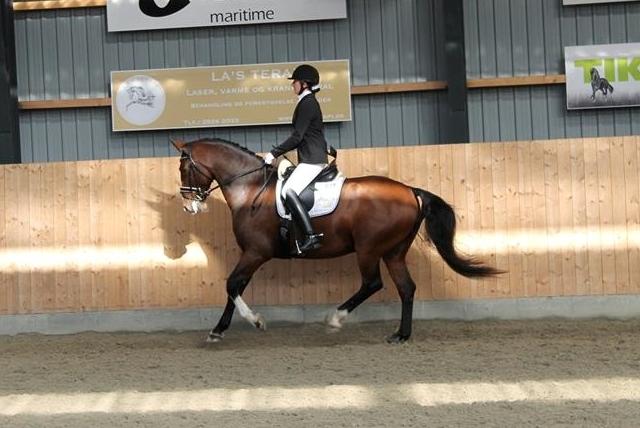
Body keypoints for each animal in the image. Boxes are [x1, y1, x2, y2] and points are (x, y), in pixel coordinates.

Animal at [172, 138, 502, 344]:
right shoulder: (252, 254)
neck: (249, 188)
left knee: (372, 284)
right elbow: (235, 287)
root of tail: (411, 191)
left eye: (183, 167)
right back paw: (401, 335)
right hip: (393, 251)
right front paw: (219, 330)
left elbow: (231, 285)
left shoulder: (256, 252)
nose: (189, 206)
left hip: (368, 249)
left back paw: (335, 319)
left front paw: (253, 322)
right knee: (406, 288)